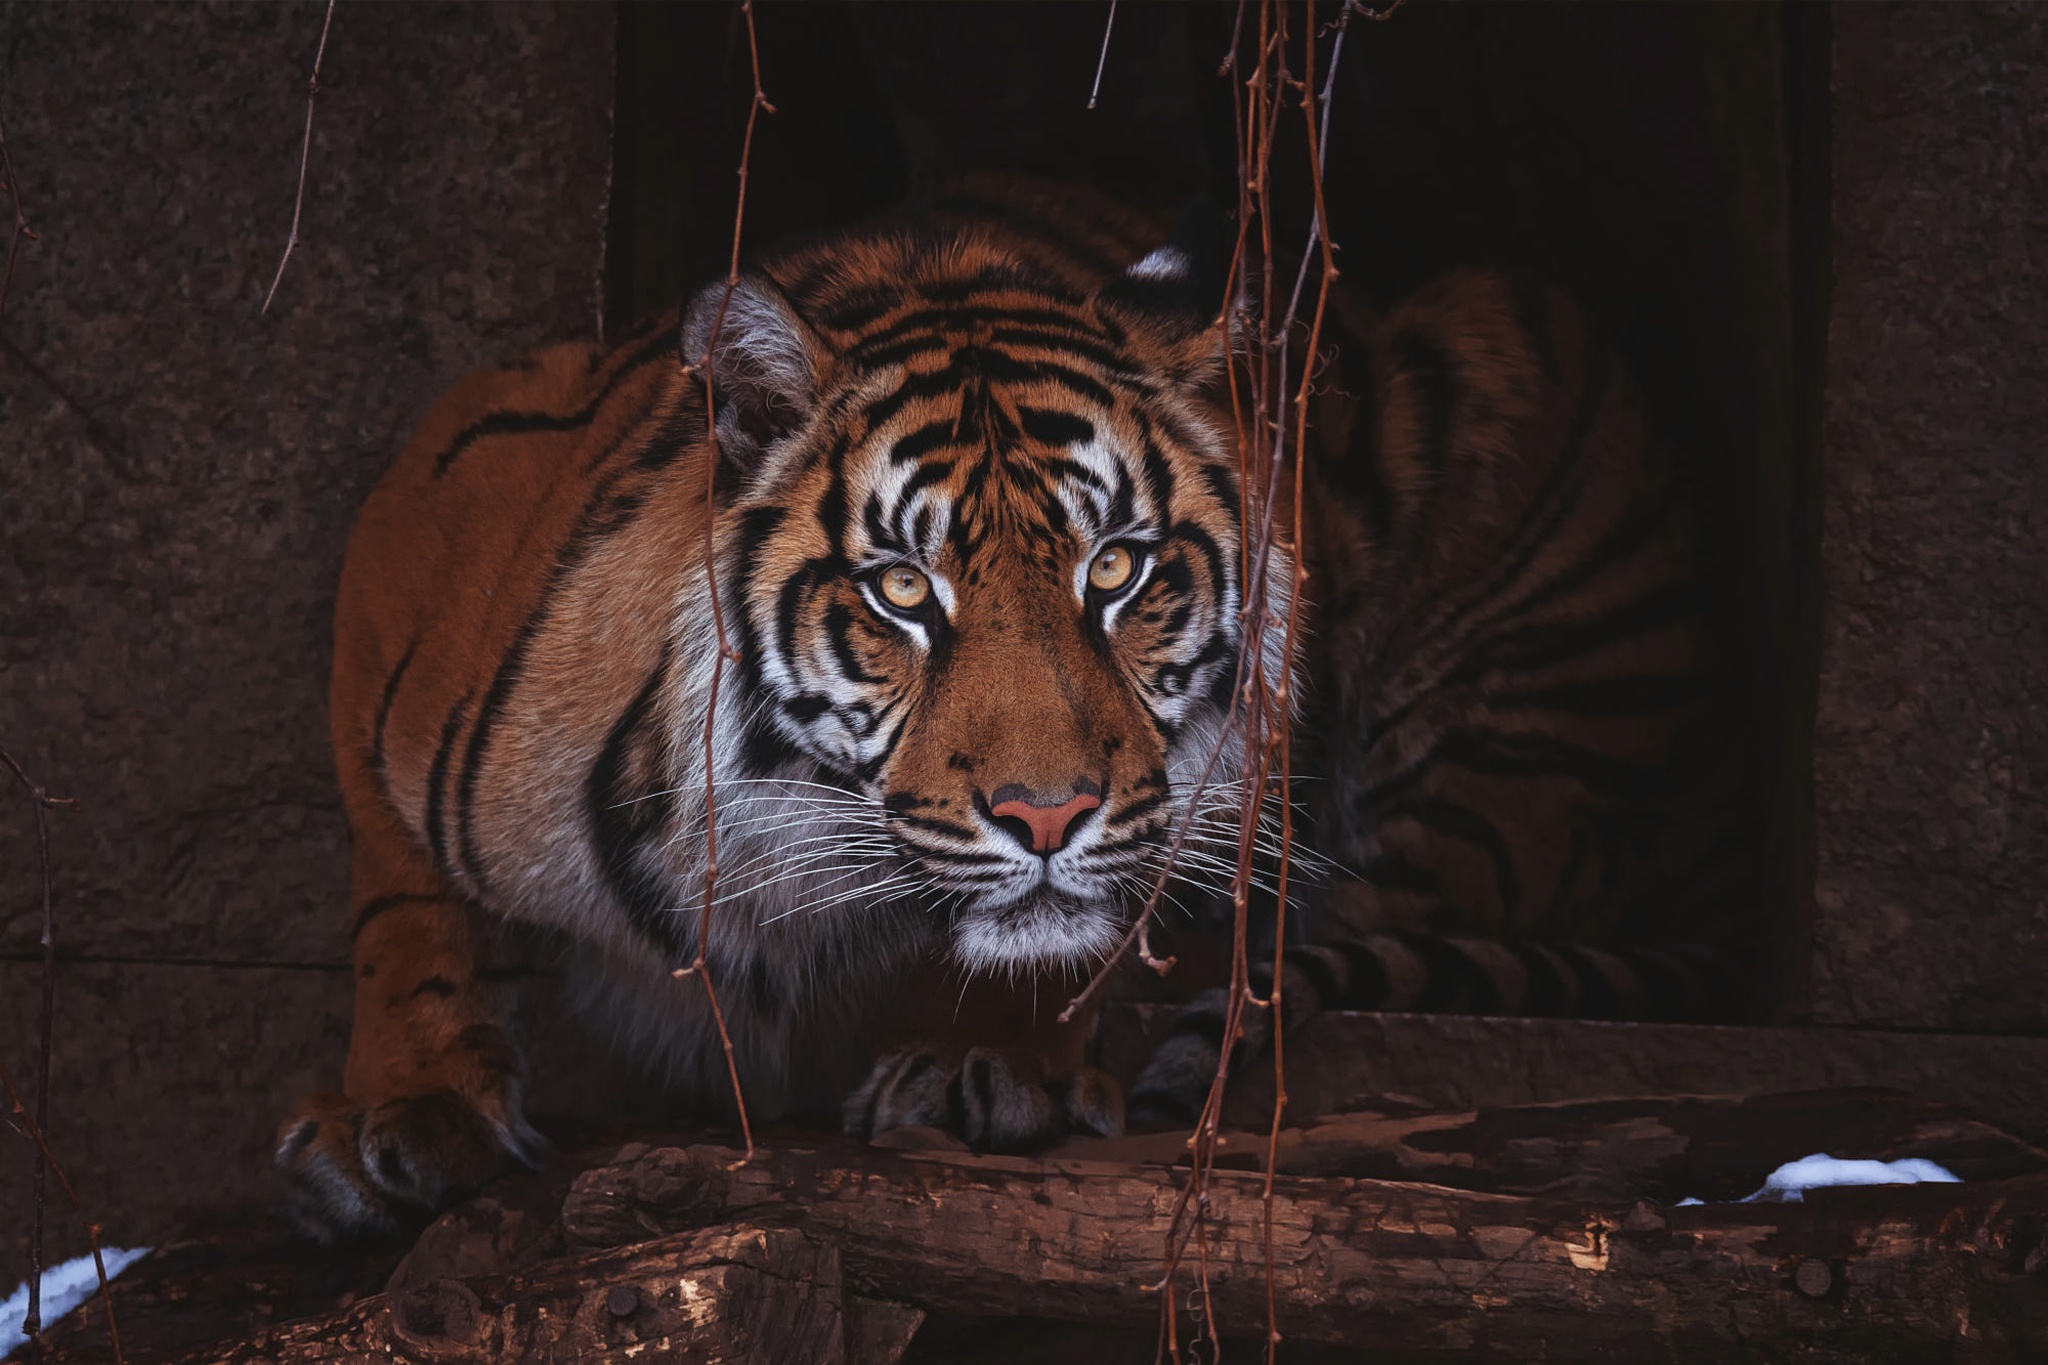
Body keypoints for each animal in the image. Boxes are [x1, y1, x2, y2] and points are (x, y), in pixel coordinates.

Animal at [272, 179, 1744, 1236]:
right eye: (902, 588)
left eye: (1118, 569)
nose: (1048, 813)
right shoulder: (424, 515)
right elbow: (402, 899)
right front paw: (403, 1108)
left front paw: (987, 1061)